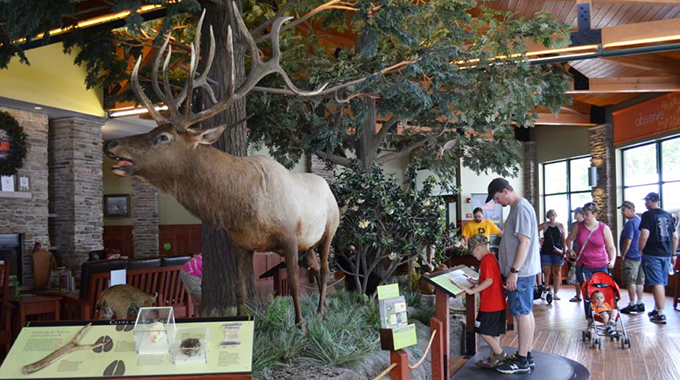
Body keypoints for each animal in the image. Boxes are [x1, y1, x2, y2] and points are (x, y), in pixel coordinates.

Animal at [105, 5, 338, 330]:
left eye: (162, 137)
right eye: (153, 128)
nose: (110, 144)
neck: (242, 205)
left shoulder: (290, 235)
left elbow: (292, 283)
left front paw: (301, 327)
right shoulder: (241, 243)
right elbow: (240, 289)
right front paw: (243, 322)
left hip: (330, 228)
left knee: (326, 268)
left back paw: (317, 313)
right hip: (310, 243)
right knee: (316, 267)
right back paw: (324, 307)